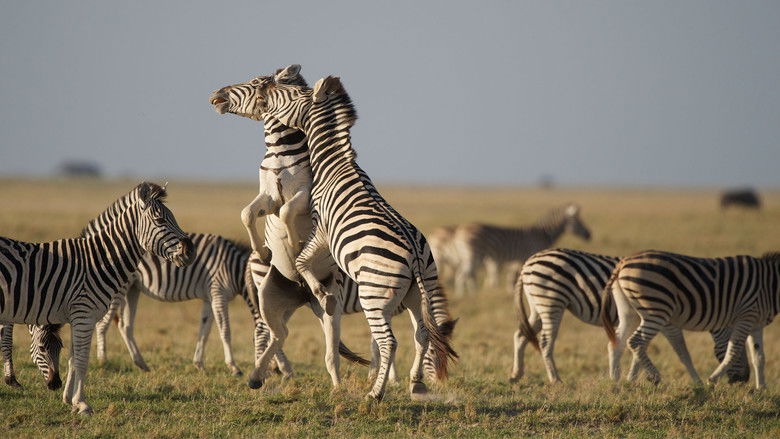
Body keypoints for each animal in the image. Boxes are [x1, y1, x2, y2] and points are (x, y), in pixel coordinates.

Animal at [0, 182, 193, 414]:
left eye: (172, 217)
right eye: (160, 220)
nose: (191, 251)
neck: (99, 260)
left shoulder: (77, 316)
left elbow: (74, 359)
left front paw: (69, 399)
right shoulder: (84, 314)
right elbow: (82, 360)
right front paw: (82, 404)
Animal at [213, 75, 458, 400]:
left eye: (292, 94)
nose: (267, 87)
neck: (334, 163)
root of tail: (416, 256)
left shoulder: (322, 229)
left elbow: (302, 258)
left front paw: (317, 286)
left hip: (374, 295)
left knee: (388, 341)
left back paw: (375, 394)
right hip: (417, 293)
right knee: (420, 334)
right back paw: (413, 383)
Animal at [452, 203, 592, 296]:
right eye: (578, 222)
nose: (589, 235)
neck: (542, 235)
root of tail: (459, 231)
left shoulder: (520, 260)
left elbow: (514, 278)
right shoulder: (530, 256)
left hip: (467, 256)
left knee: (463, 274)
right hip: (473, 255)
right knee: (462, 275)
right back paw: (467, 296)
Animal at [511, 248, 749, 384]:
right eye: (738, 351)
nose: (744, 380)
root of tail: (528, 262)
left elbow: (638, 348)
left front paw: (631, 378)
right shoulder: (664, 320)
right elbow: (658, 347)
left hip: (537, 304)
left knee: (521, 335)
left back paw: (516, 375)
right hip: (551, 301)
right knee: (544, 341)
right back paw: (555, 379)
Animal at [601, 250, 780, 389]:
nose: (742, 380)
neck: (770, 285)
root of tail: (623, 262)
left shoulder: (756, 323)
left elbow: (759, 356)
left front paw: (762, 389)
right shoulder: (746, 315)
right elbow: (732, 350)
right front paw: (712, 380)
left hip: (629, 312)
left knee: (617, 341)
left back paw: (616, 381)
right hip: (656, 311)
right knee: (635, 341)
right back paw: (655, 377)